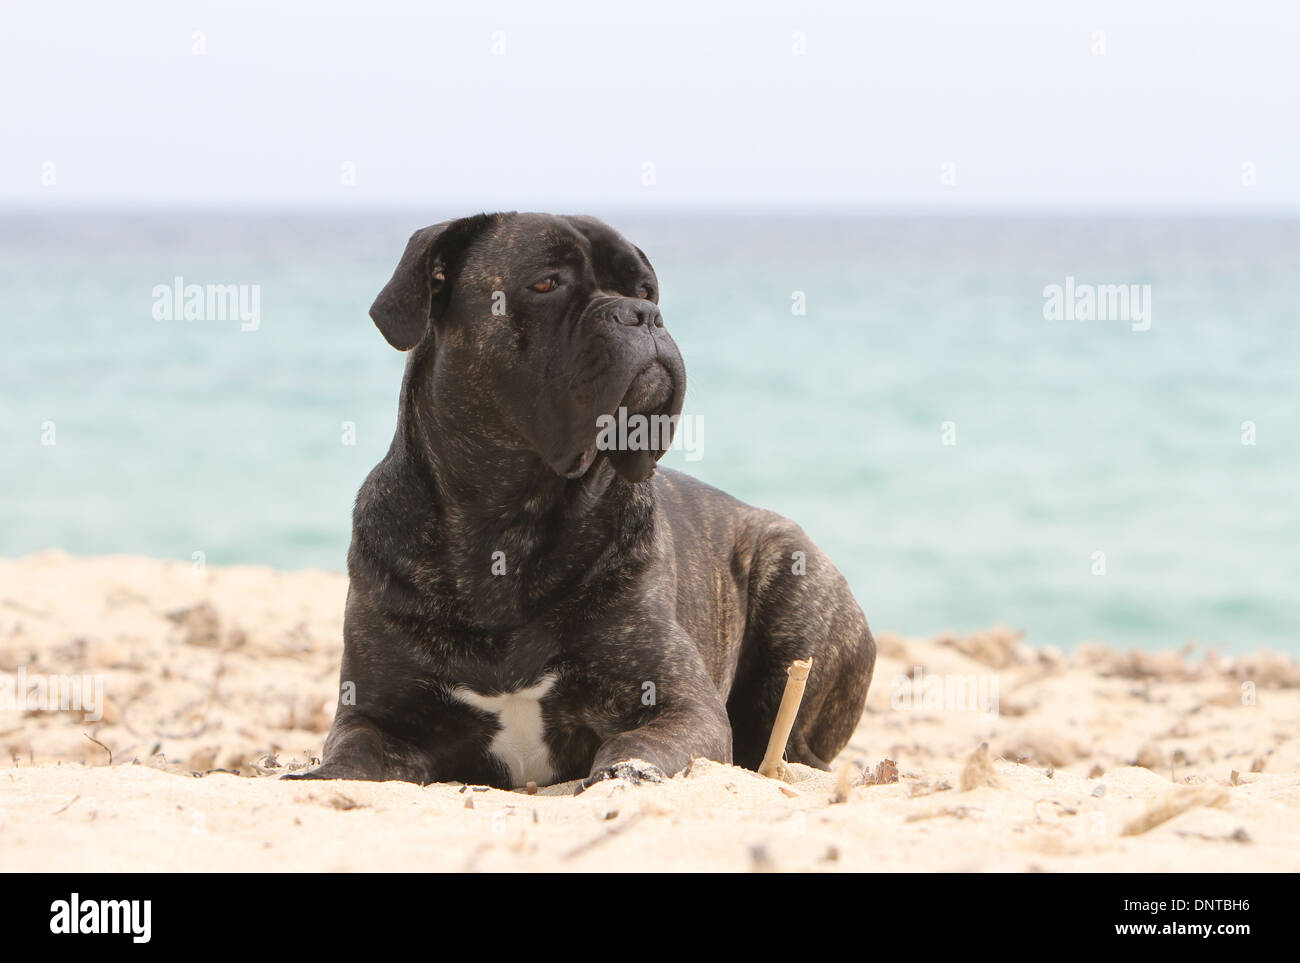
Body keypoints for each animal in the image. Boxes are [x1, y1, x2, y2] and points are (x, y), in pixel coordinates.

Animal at [284, 211, 873, 790]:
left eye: (646, 289)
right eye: (547, 283)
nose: (643, 314)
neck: (511, 520)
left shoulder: (679, 705)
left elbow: (637, 747)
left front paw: (628, 772)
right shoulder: (375, 714)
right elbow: (352, 756)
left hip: (793, 580)